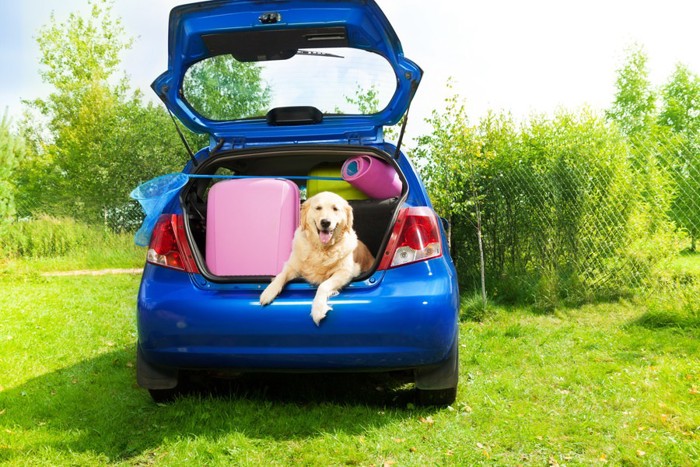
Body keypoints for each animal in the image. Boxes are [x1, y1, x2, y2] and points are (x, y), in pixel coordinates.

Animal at [260, 191, 374, 326]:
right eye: (318, 208)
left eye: (335, 209)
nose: (325, 222)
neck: (321, 249)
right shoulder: (292, 265)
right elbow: (280, 276)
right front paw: (268, 292)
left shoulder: (346, 272)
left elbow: (323, 285)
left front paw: (318, 309)